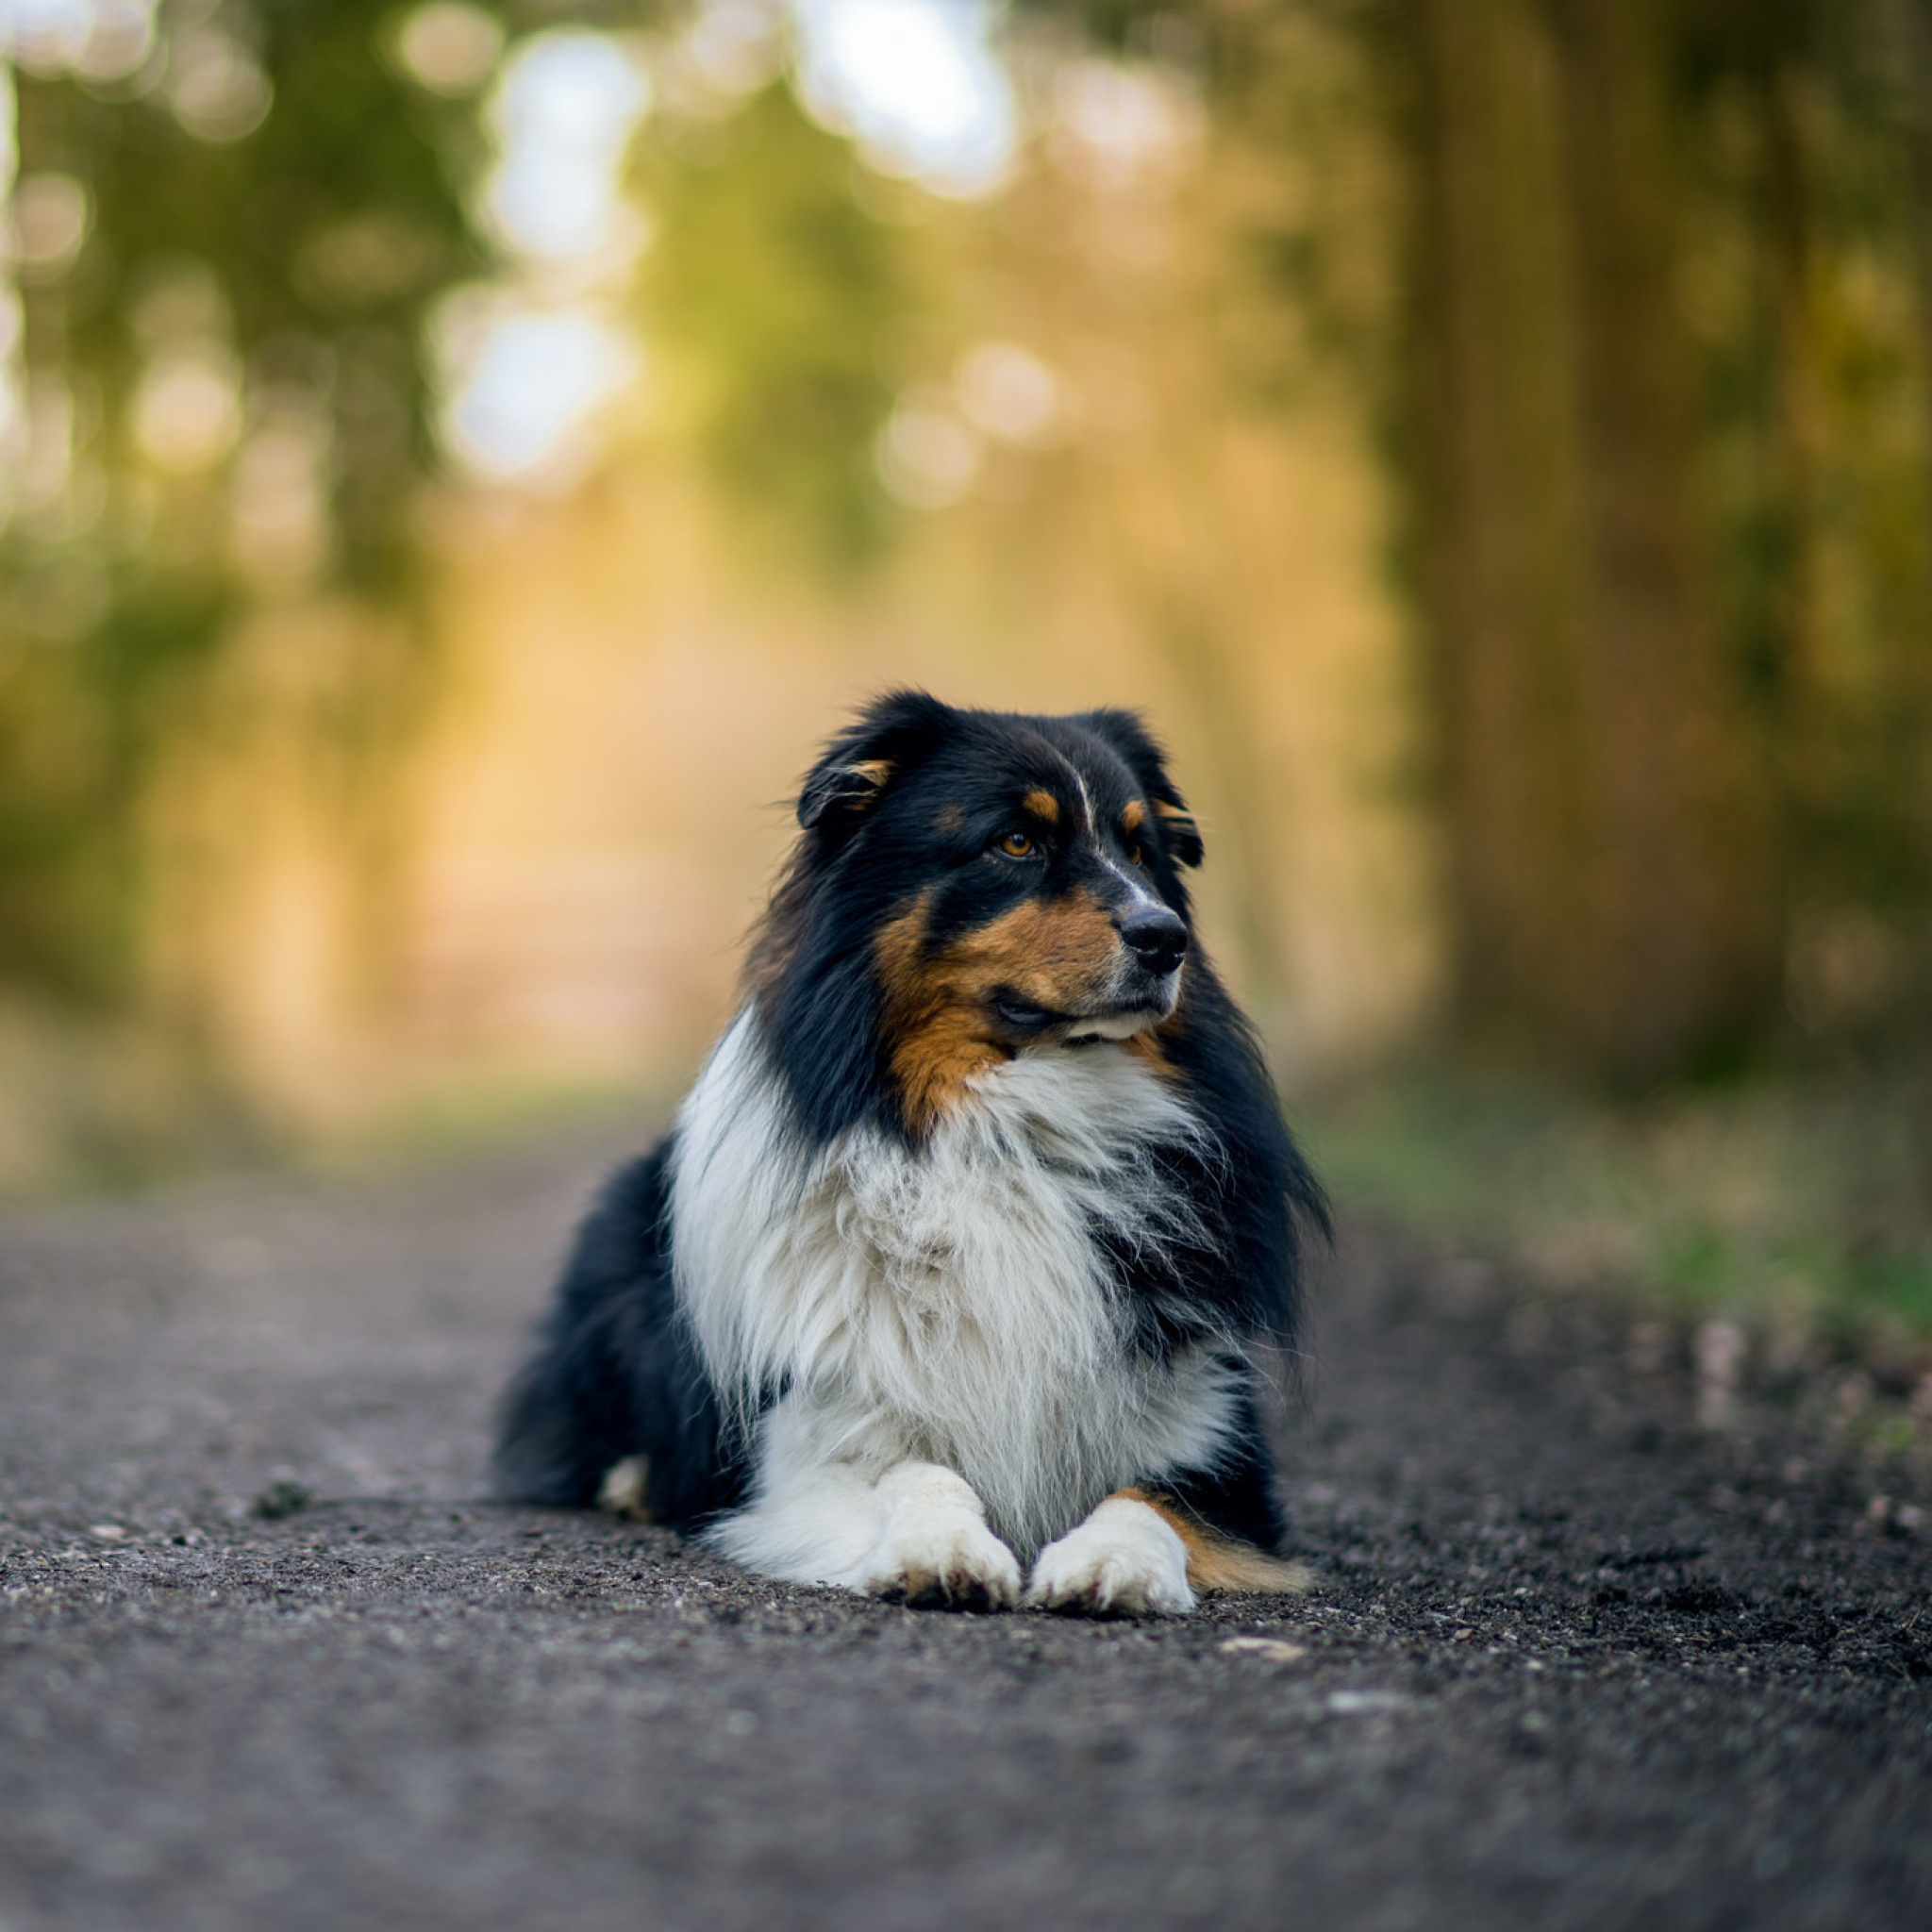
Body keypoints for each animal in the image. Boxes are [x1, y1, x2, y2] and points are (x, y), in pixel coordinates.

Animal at [494, 695, 1329, 1615]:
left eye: (1142, 850)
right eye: (1016, 842)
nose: (1165, 937)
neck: (1006, 1129)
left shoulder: (1214, 1436)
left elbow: (1145, 1499)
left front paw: (1112, 1565)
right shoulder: (810, 1439)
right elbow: (916, 1471)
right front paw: (944, 1551)